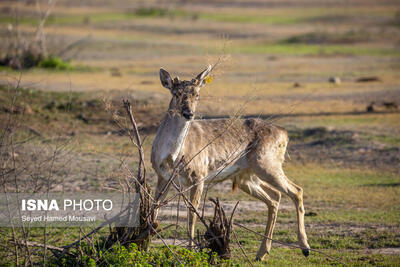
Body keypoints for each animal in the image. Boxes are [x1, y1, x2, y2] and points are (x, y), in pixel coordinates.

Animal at [152, 65, 310, 262]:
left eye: (197, 94)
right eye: (176, 93)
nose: (189, 113)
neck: (173, 156)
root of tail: (284, 133)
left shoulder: (199, 175)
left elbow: (191, 215)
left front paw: (190, 252)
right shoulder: (162, 176)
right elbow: (155, 208)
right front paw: (144, 245)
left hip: (267, 164)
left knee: (296, 190)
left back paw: (305, 248)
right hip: (246, 176)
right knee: (275, 197)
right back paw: (261, 253)